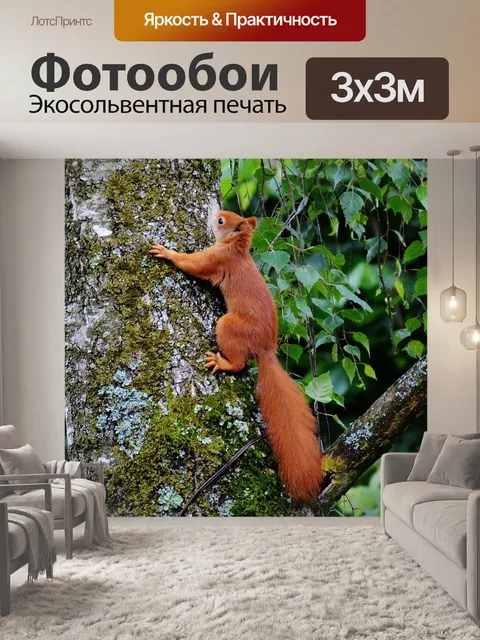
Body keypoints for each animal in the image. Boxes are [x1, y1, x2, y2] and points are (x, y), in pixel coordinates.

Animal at [150, 210, 323, 502]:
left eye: (222, 221)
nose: (214, 212)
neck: (236, 248)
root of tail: (266, 350)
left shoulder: (217, 259)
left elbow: (193, 264)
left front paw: (168, 253)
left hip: (228, 327)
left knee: (240, 363)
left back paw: (222, 362)